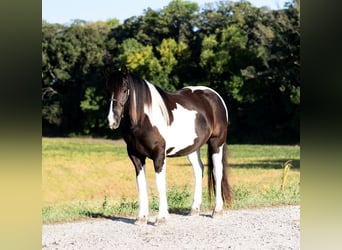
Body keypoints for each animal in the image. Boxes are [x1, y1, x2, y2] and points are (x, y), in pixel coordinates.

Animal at [104, 64, 232, 225]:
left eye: (125, 89)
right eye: (108, 90)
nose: (112, 120)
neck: (143, 119)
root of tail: (215, 96)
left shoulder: (159, 155)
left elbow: (160, 184)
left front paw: (161, 217)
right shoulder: (136, 157)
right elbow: (141, 184)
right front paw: (142, 217)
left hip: (216, 143)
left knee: (217, 171)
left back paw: (217, 210)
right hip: (192, 148)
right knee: (199, 170)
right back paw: (194, 209)